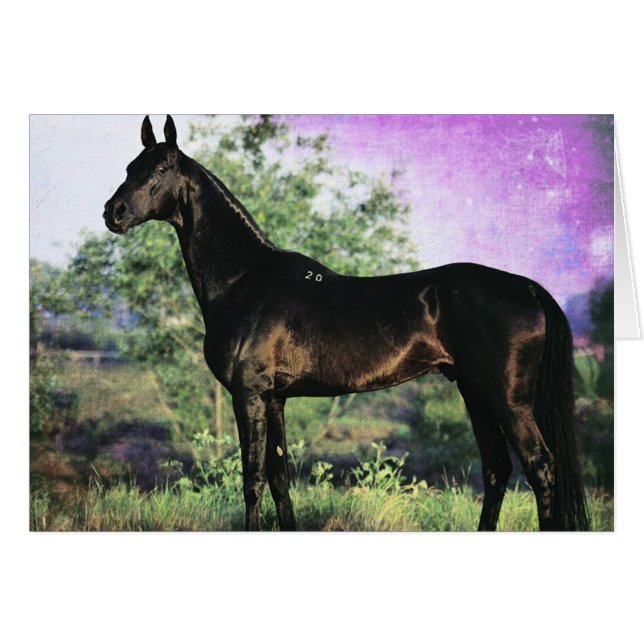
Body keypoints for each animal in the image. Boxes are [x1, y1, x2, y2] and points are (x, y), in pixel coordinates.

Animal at [103, 115, 589, 531]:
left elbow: (252, 479)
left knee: (540, 468)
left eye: (161, 167)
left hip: (507, 399)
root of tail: (527, 288)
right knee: (496, 469)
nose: (114, 212)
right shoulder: (275, 399)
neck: (244, 280)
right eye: (129, 167)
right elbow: (280, 479)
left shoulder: (250, 393)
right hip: (475, 392)